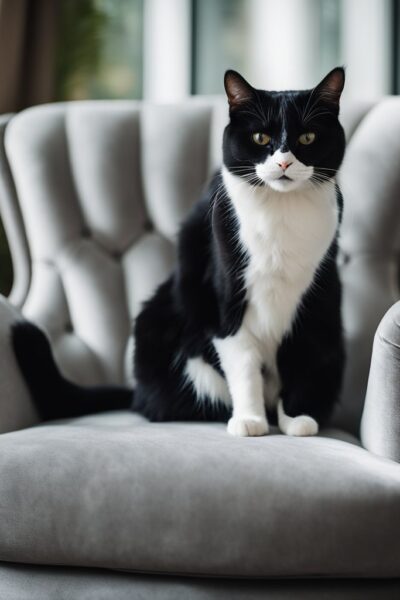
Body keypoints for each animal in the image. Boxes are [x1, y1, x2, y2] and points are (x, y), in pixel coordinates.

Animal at [10, 69, 346, 436]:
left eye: (308, 138)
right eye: (260, 138)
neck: (281, 212)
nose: (284, 162)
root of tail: (136, 393)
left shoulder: (315, 300)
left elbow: (302, 355)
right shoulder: (222, 295)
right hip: (159, 322)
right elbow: (242, 361)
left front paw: (298, 418)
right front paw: (250, 420)